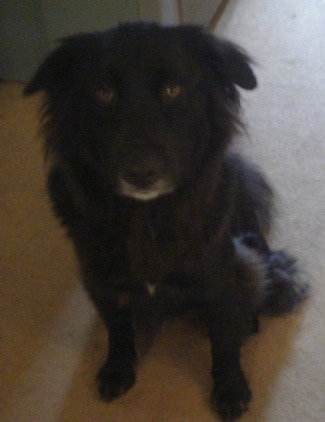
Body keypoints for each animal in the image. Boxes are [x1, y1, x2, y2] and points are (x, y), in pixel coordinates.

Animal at [24, 23, 306, 422]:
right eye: (103, 92)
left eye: (173, 89)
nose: (141, 172)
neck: (147, 216)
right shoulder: (99, 280)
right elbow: (117, 328)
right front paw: (118, 368)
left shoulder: (219, 276)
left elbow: (223, 339)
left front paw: (230, 387)